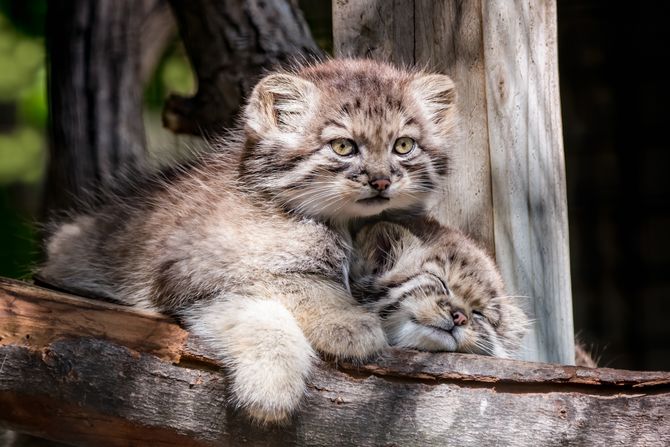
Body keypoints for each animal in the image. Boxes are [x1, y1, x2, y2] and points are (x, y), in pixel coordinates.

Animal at [40, 58, 462, 424]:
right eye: (343, 146)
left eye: (403, 145)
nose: (381, 181)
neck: (342, 225)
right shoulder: (188, 273)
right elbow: (279, 294)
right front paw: (282, 379)